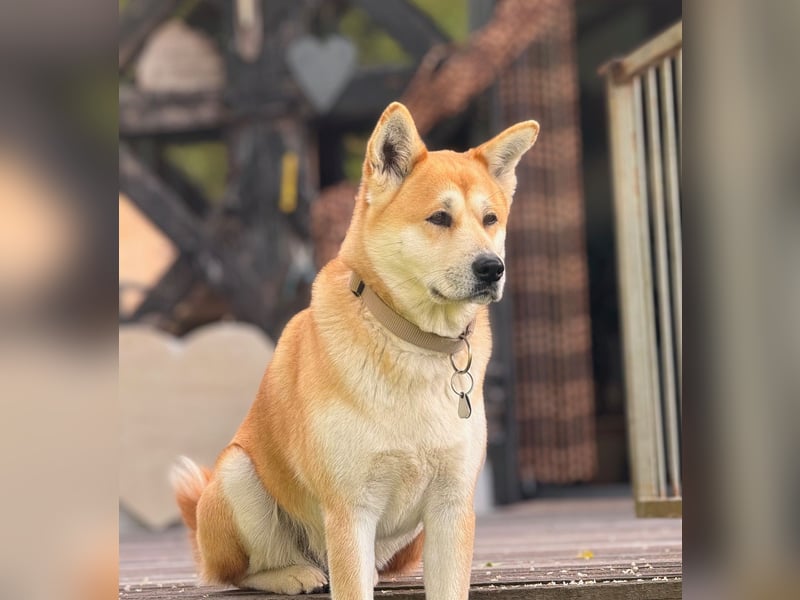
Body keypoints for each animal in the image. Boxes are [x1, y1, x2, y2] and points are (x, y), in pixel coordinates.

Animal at [172, 103, 540, 600]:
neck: (414, 342)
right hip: (237, 475)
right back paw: (291, 573)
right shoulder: (350, 510)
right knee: (239, 571)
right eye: (439, 218)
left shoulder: (451, 508)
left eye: (490, 219)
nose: (491, 268)